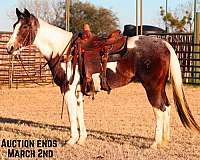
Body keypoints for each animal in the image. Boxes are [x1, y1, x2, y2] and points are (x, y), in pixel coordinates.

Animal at [6, 9, 200, 149]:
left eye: (24, 27)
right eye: (14, 25)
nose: (9, 48)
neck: (65, 51)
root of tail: (164, 43)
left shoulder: (67, 89)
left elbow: (71, 114)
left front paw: (71, 140)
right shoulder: (78, 91)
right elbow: (80, 113)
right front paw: (81, 139)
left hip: (152, 87)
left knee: (159, 109)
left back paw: (155, 143)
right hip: (160, 87)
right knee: (167, 107)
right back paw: (165, 141)